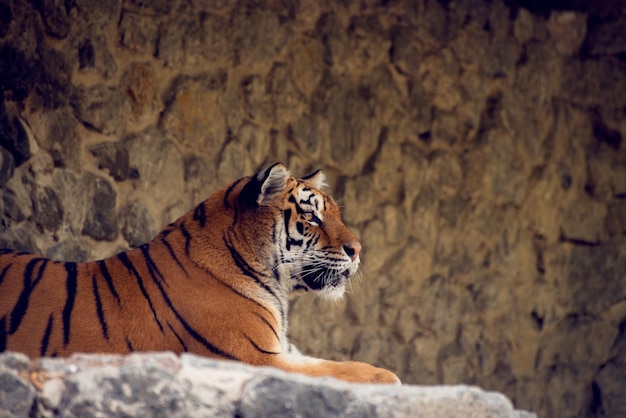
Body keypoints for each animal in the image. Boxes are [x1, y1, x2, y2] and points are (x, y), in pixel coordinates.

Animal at [0, 163, 398, 386]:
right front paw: (389, 377)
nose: (358, 249)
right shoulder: (258, 359)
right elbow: (343, 371)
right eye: (312, 216)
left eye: (335, 213)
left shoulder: (281, 351)